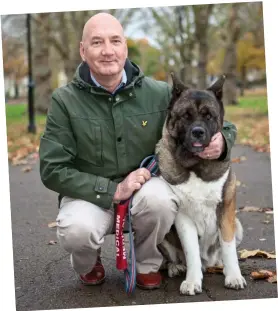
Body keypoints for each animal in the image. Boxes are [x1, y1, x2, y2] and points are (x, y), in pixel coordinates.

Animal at [155, 74, 247, 296]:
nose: (197, 132)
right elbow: (191, 252)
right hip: (164, 235)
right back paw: (175, 267)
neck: (196, 165)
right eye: (186, 116)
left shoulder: (226, 210)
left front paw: (234, 277)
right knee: (173, 257)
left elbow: (228, 247)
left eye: (208, 116)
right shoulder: (182, 217)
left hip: (237, 225)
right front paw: (192, 281)